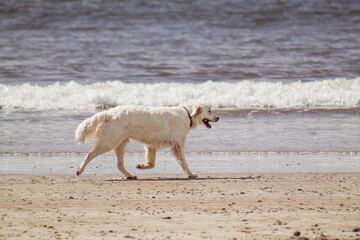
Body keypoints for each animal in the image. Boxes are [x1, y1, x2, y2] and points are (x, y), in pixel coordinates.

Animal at [74, 104, 218, 179]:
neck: (187, 114)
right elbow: (184, 163)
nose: (218, 117)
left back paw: (130, 175)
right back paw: (80, 170)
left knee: (119, 164)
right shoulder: (177, 145)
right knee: (90, 154)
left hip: (120, 142)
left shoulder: (151, 145)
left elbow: (151, 163)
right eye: (210, 111)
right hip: (109, 142)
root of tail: (110, 113)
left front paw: (141, 166)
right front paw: (191, 174)